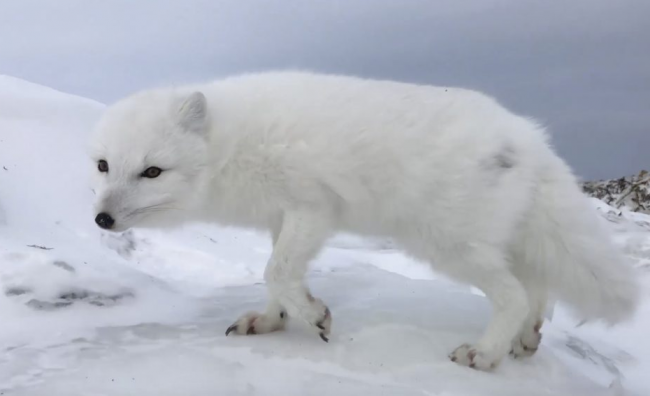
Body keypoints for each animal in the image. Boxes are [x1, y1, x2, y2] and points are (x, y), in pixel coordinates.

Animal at [87, 69, 636, 370]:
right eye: (103, 165)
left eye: (152, 171)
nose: (102, 219)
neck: (230, 144)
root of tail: (529, 139)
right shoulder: (280, 216)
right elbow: (276, 275)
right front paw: (272, 320)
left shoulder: (313, 208)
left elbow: (276, 270)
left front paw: (314, 317)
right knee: (537, 289)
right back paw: (526, 339)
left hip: (447, 245)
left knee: (516, 295)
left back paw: (485, 354)